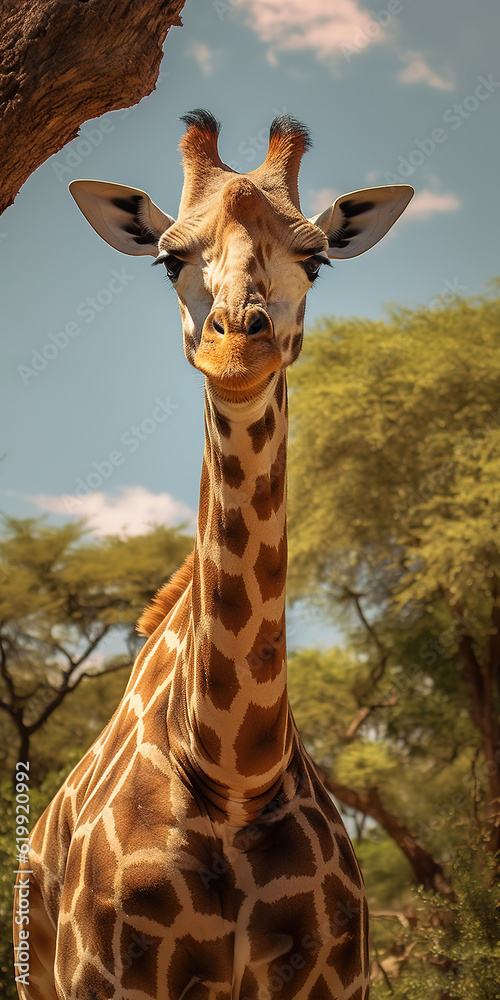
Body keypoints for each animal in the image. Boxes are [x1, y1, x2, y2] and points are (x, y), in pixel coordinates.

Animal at [13, 111, 413, 1000]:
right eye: (169, 258)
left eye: (315, 258)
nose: (236, 349)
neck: (232, 769)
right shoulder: (109, 978)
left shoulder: (333, 977)